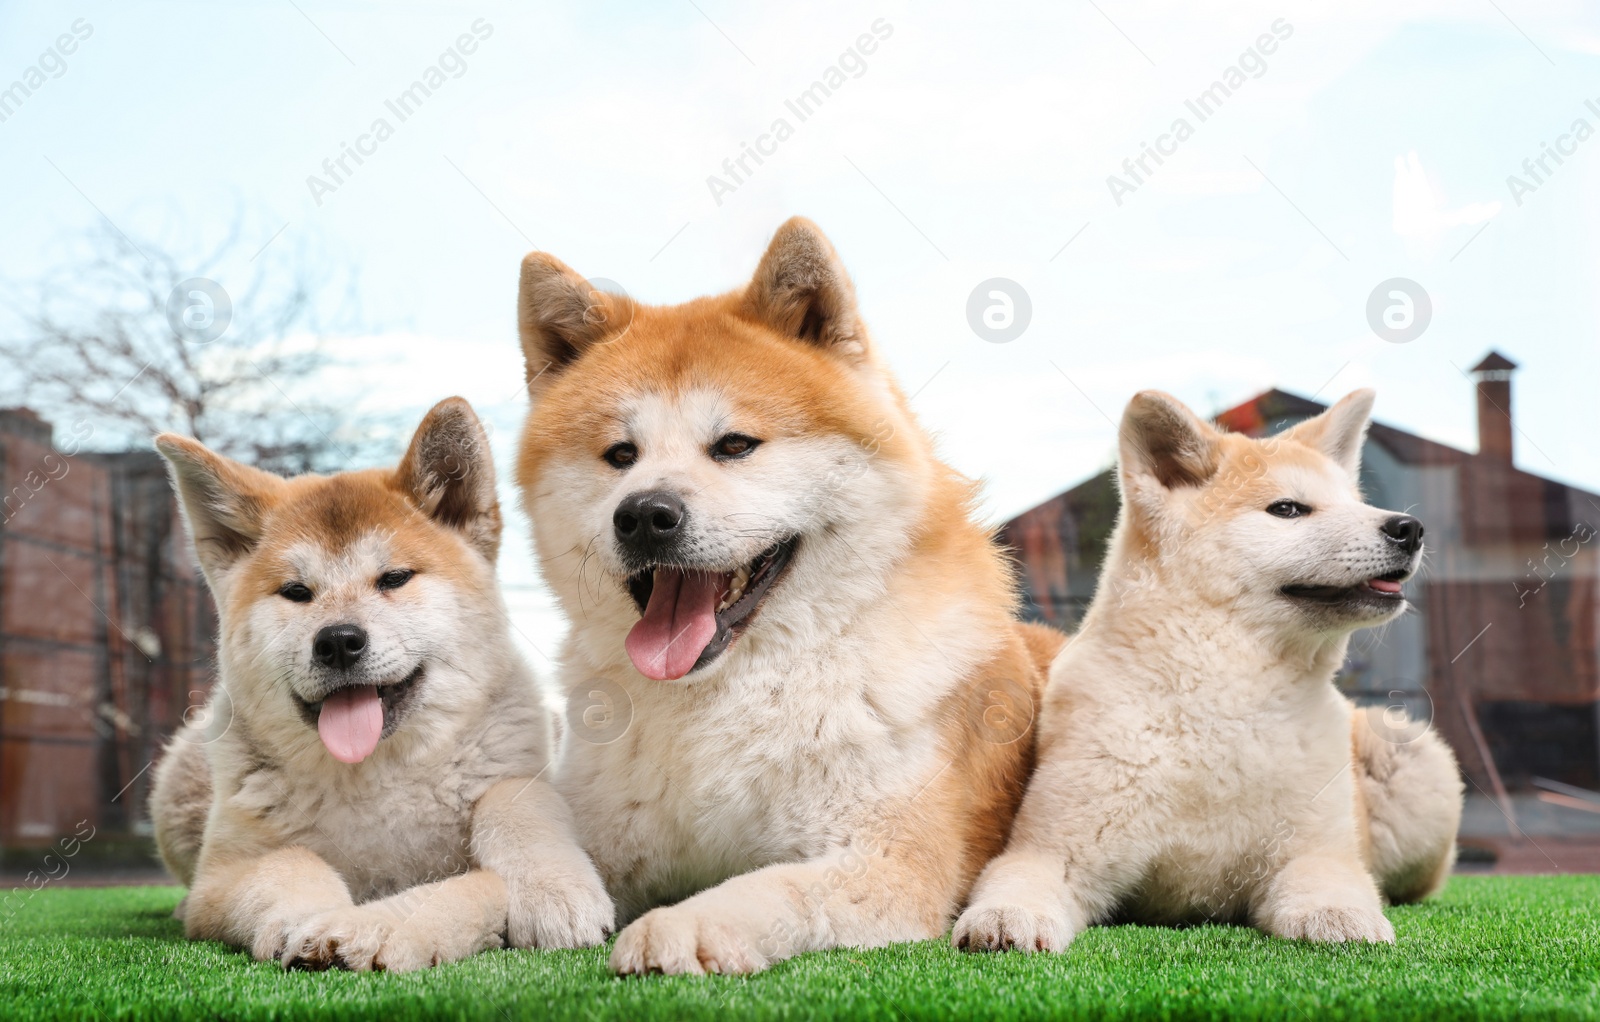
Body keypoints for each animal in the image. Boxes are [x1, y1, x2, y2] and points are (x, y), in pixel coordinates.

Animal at [148, 396, 611, 972]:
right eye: (296, 592)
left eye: (394, 579)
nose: (338, 641)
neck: (376, 781)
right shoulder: (219, 880)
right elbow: (287, 862)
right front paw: (314, 920)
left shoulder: (518, 777)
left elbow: (514, 804)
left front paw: (555, 891)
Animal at [512, 217, 1062, 972]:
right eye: (620, 456)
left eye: (735, 445)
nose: (645, 514)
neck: (725, 697)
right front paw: (540, 895)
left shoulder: (885, 858)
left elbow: (762, 888)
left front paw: (679, 926)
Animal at [947, 385, 1465, 953]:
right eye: (1288, 509)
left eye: (1357, 502)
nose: (1408, 528)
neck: (1223, 703)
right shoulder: (1050, 849)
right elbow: (1018, 884)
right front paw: (1005, 917)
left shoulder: (1315, 851)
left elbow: (1332, 887)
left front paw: (1339, 916)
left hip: (1406, 752)